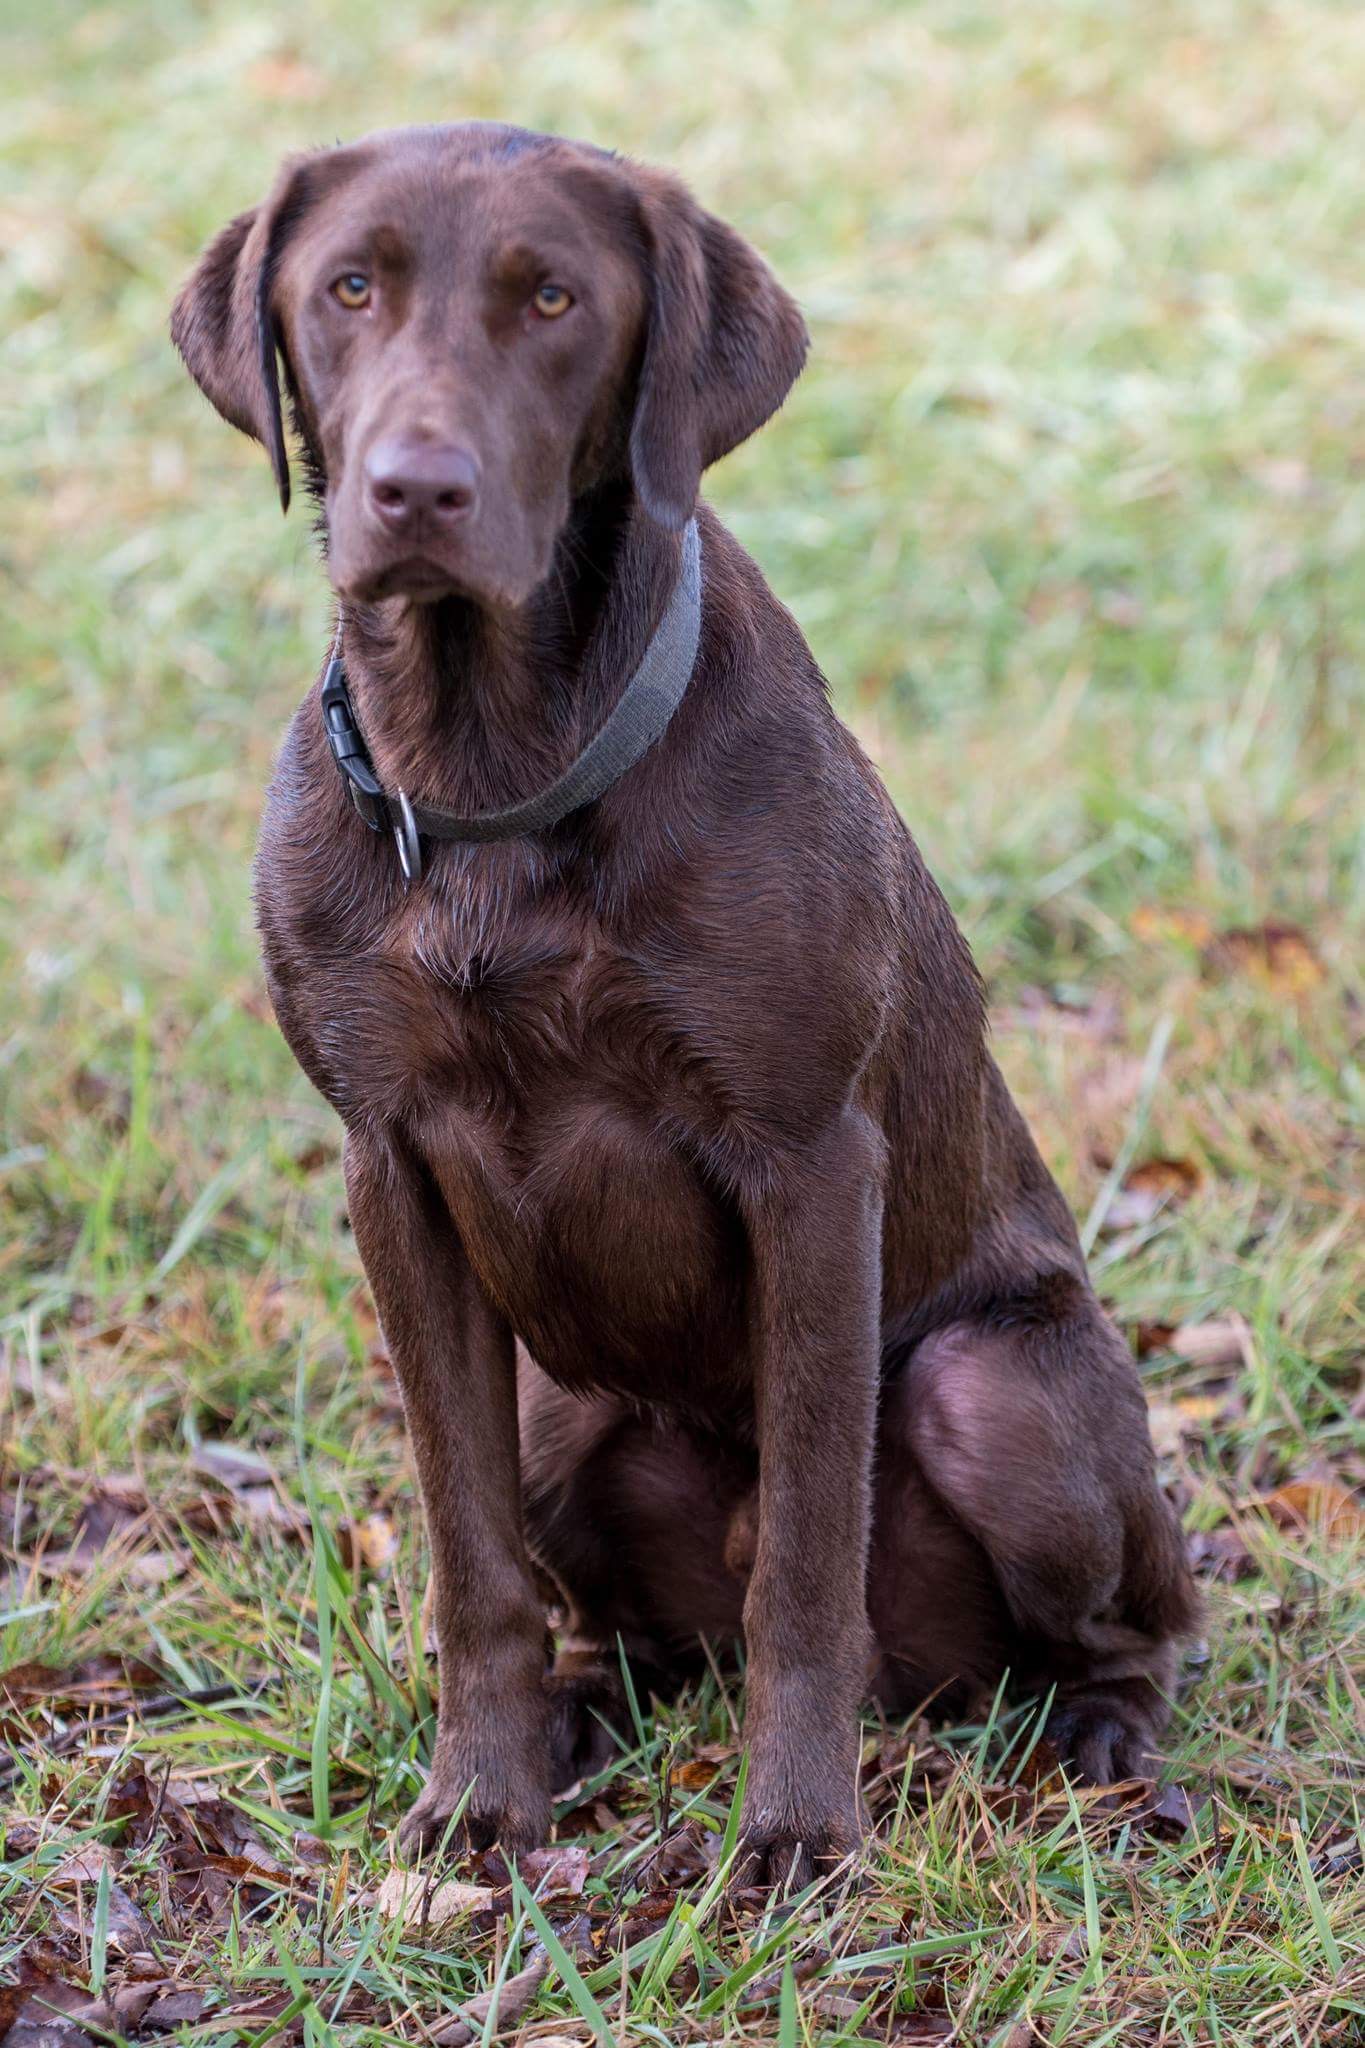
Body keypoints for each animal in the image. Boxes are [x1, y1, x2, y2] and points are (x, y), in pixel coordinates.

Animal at [173, 119, 1195, 1875]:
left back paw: (1108, 1744)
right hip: (559, 1406)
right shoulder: (390, 1169)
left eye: (554, 299)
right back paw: (590, 1708)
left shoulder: (808, 1162)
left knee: (1127, 1624)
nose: (416, 489)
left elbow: (807, 1555)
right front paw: (482, 1795)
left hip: (998, 1388)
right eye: (349, 288)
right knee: (602, 1604)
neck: (493, 780)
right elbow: (469, 1561)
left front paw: (792, 1830)